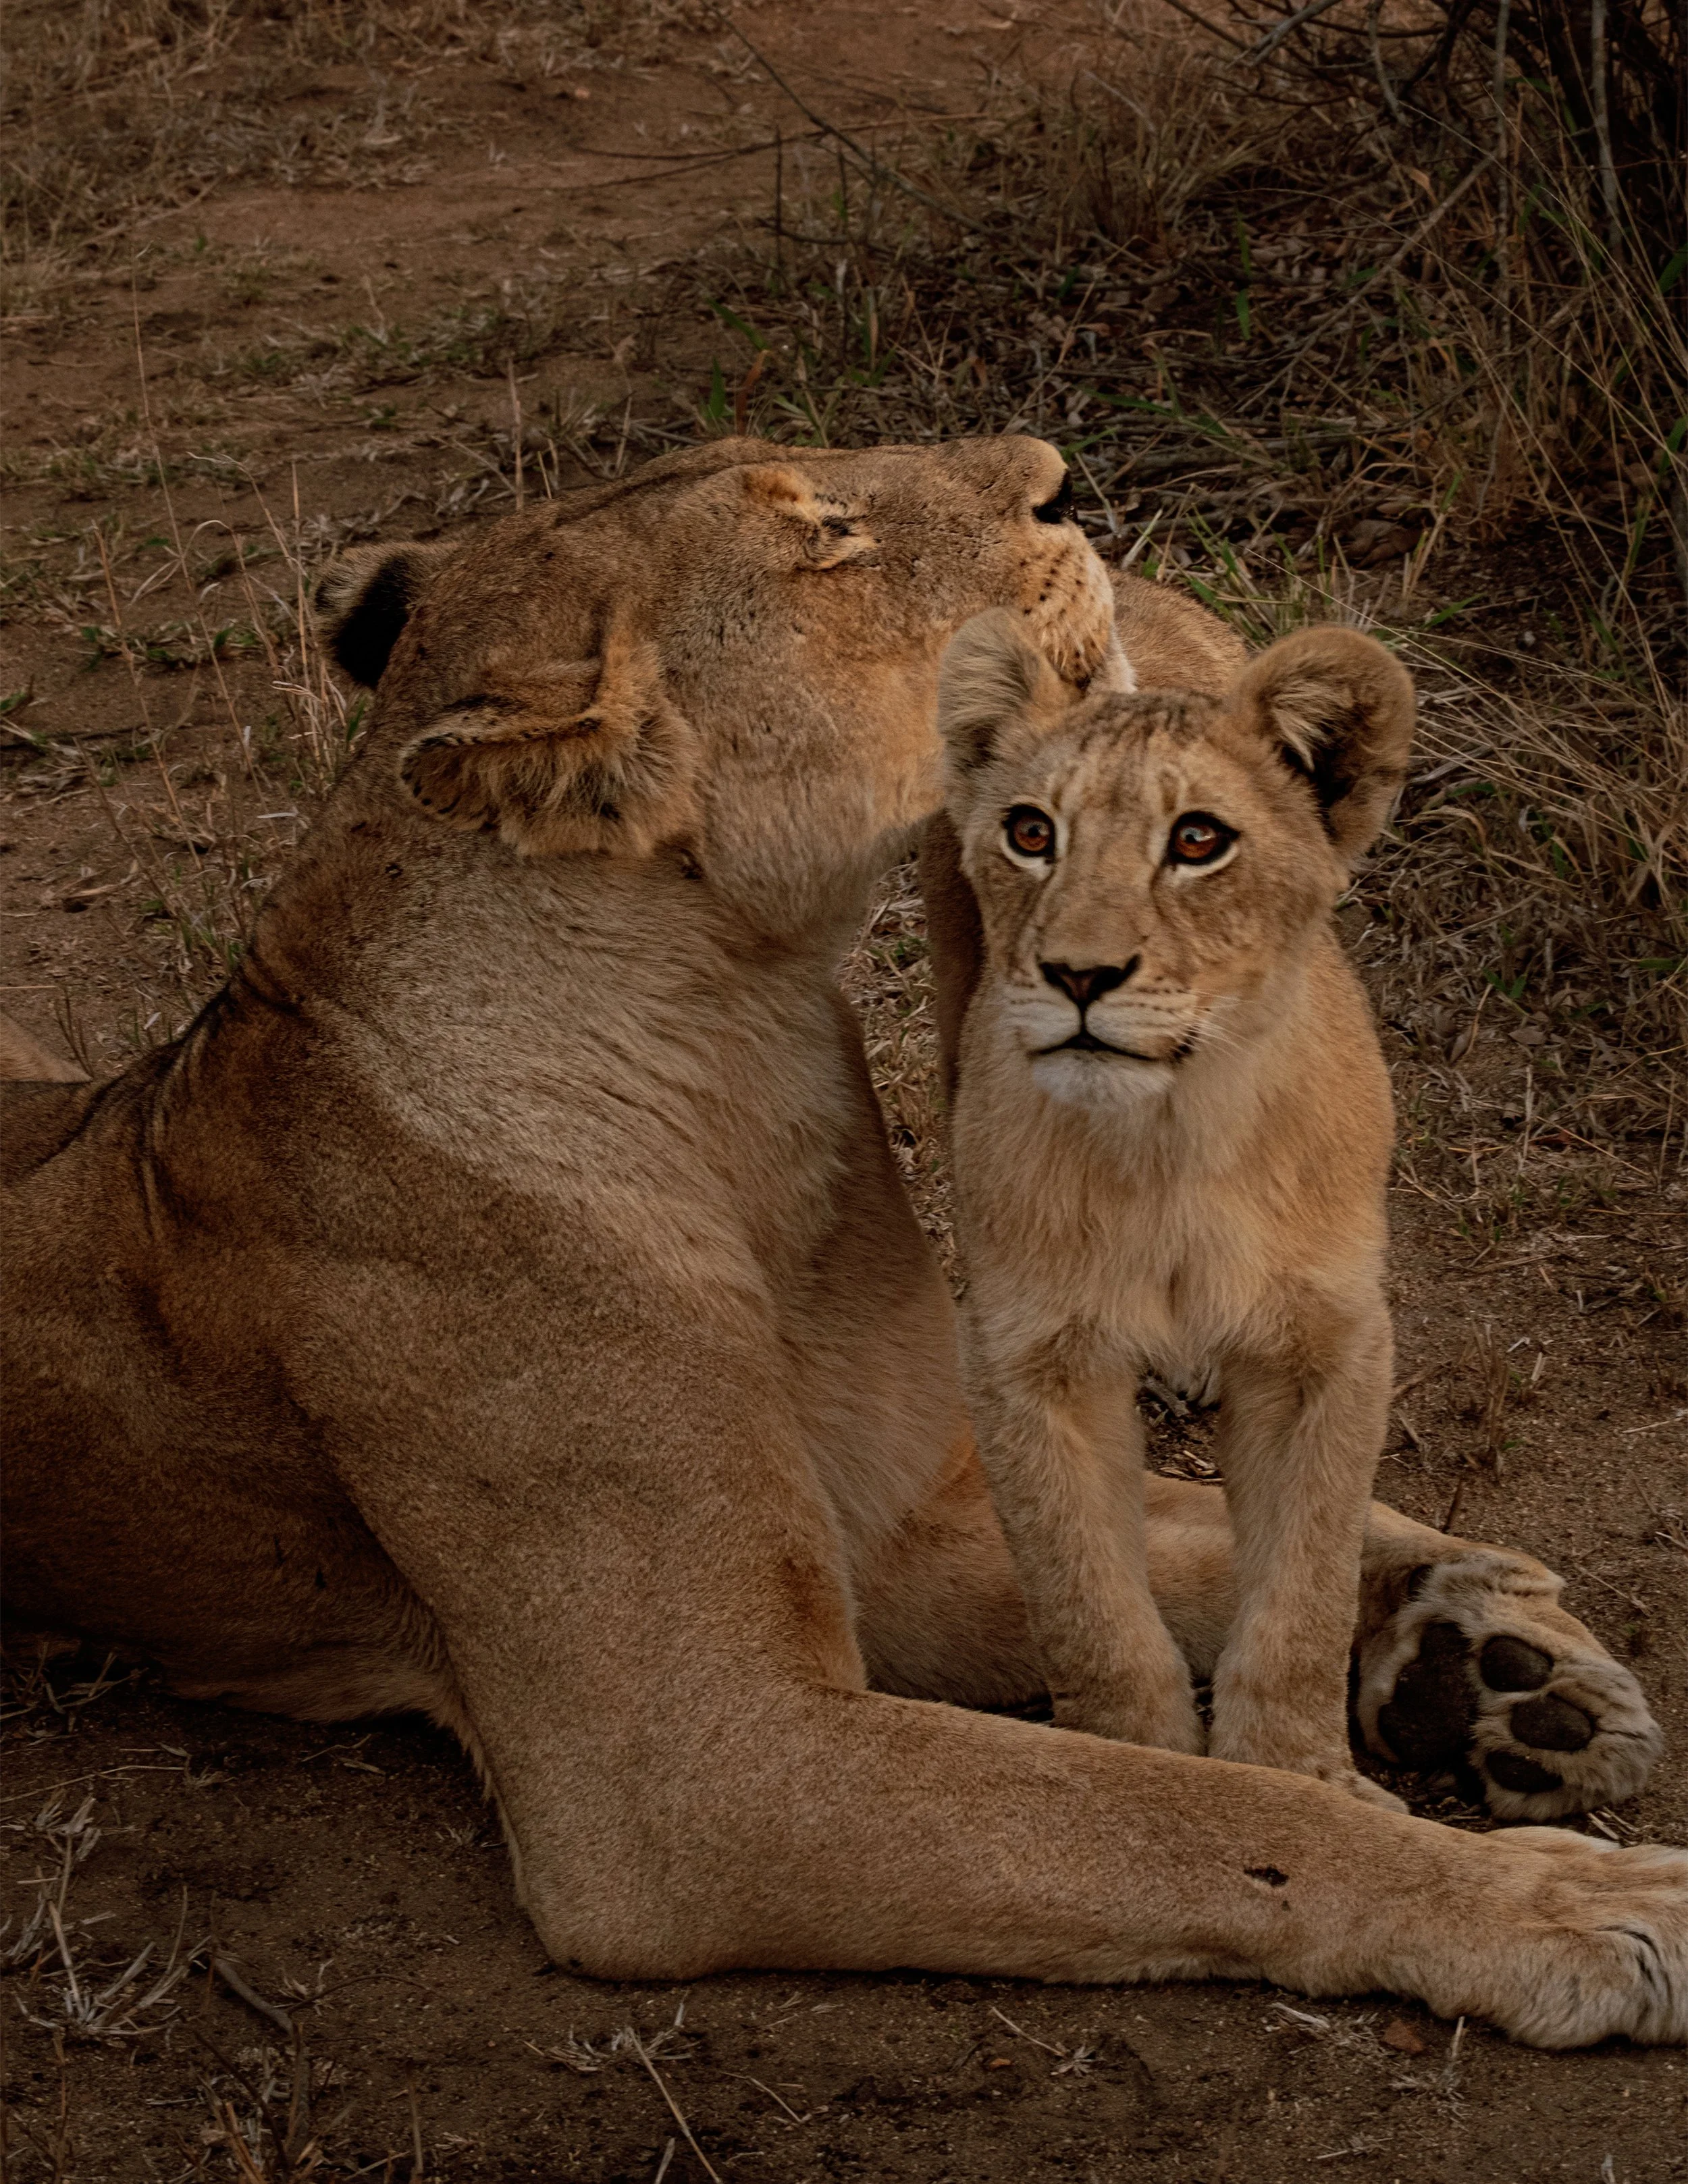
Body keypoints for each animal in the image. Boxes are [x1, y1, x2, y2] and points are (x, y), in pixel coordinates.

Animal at [2, 435, 1682, 2049]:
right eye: (824, 534)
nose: (1058, 482)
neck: (738, 1046)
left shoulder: (894, 1532)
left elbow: (1210, 1545)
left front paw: (1488, 1645)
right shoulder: (695, 1771)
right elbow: (1183, 1815)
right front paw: (1569, 1899)